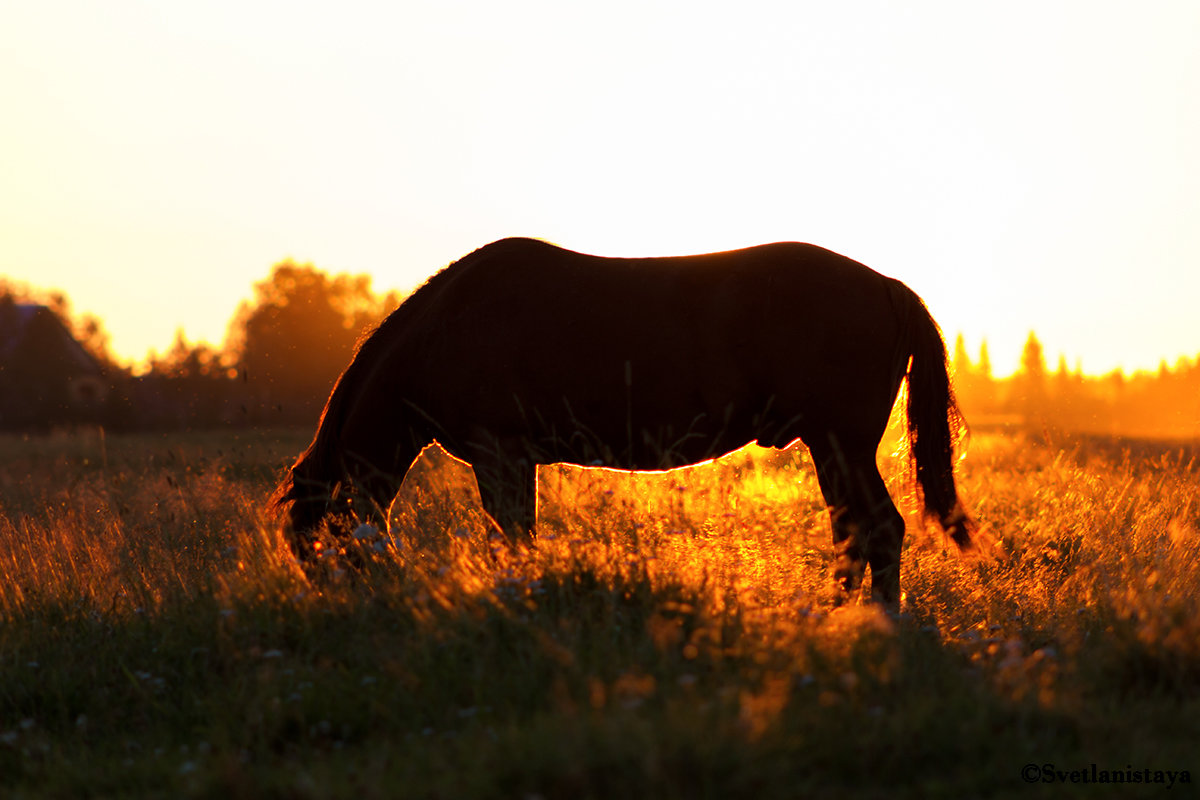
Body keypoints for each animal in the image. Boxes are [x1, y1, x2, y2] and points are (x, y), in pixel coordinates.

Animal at [274, 236, 974, 606]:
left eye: (317, 551)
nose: (348, 611)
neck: (445, 330)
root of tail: (888, 286)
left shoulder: (500, 453)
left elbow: (512, 540)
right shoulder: (511, 459)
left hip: (840, 444)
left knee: (877, 529)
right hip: (833, 448)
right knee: (858, 531)